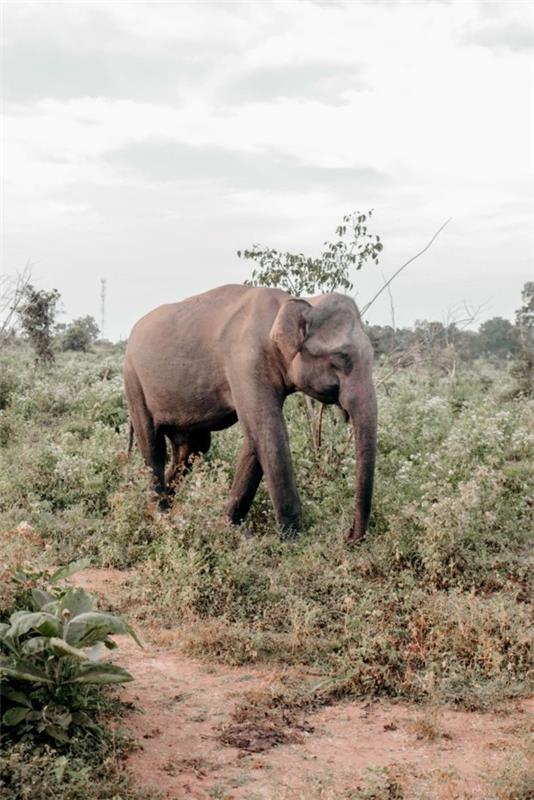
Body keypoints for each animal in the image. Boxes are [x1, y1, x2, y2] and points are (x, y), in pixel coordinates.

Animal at [124, 284, 378, 540]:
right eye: (342, 357)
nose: (348, 536)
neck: (293, 303)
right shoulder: (246, 362)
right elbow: (269, 433)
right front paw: (294, 540)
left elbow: (255, 440)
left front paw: (229, 528)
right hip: (133, 380)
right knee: (153, 446)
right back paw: (160, 518)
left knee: (193, 448)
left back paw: (169, 512)